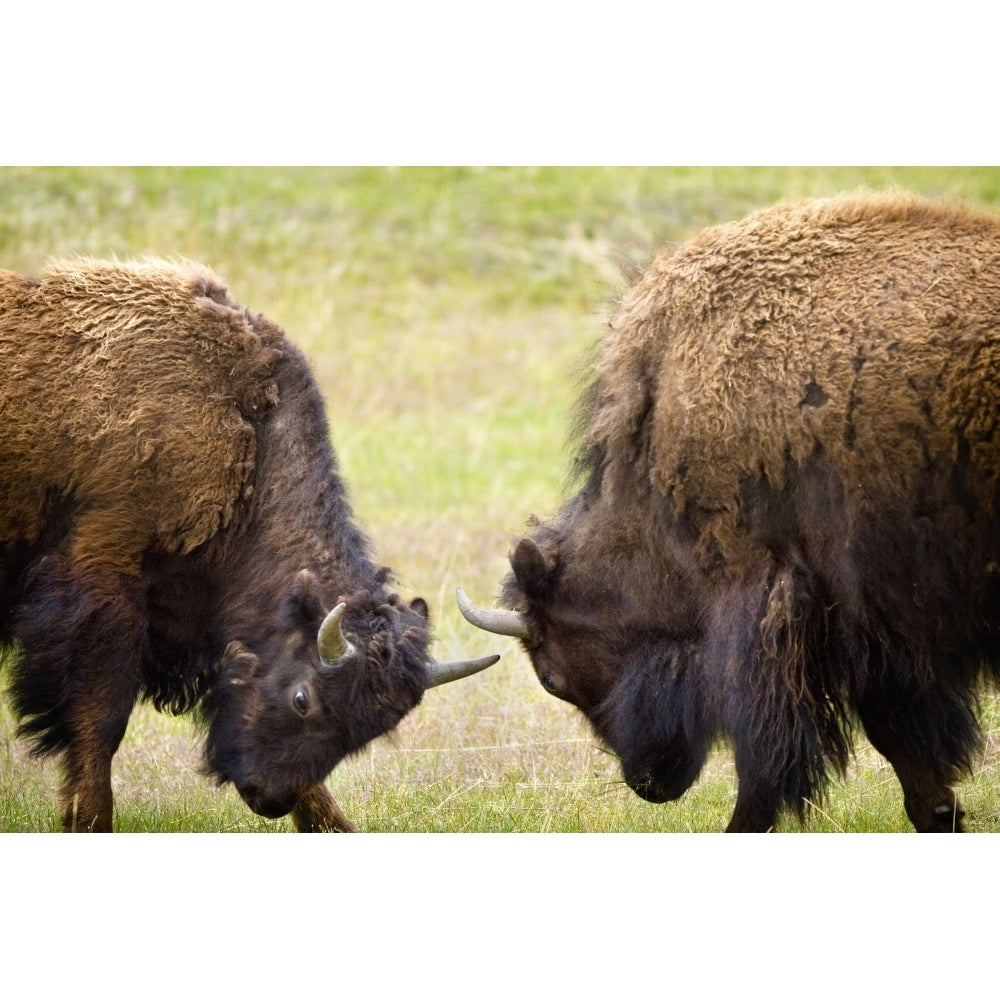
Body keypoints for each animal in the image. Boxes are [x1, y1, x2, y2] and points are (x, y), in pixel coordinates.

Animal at [0, 256, 500, 828]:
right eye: (303, 699)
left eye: (368, 732)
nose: (270, 798)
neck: (248, 441)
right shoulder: (102, 585)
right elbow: (100, 720)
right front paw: (89, 820)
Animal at [458, 191, 1000, 832]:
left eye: (550, 676)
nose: (648, 784)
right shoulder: (878, 633)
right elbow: (906, 752)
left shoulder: (774, 607)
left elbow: (768, 764)